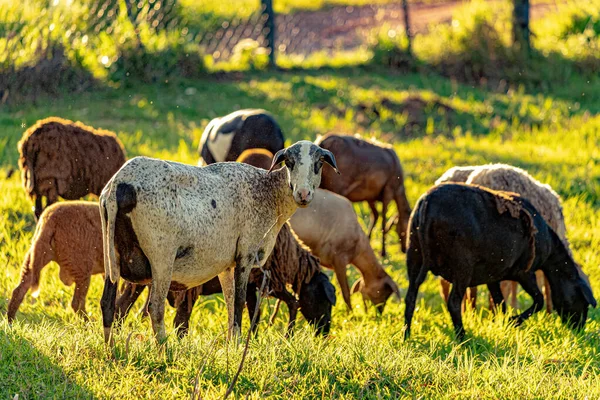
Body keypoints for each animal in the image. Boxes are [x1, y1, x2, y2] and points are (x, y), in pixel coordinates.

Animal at [98, 141, 338, 344]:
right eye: (289, 162)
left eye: (319, 163)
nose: (303, 194)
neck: (269, 194)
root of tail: (120, 185)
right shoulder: (246, 252)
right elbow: (240, 301)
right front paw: (239, 346)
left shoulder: (226, 264)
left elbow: (231, 302)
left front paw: (231, 345)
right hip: (161, 255)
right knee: (155, 307)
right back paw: (165, 352)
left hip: (112, 253)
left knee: (108, 303)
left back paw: (112, 352)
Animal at [404, 183, 596, 340]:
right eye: (584, 301)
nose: (578, 330)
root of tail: (427, 203)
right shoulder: (524, 272)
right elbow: (538, 300)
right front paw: (514, 321)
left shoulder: (492, 275)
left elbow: (500, 303)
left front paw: (501, 325)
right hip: (462, 266)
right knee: (453, 302)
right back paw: (462, 338)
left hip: (414, 255)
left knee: (410, 298)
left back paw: (407, 335)